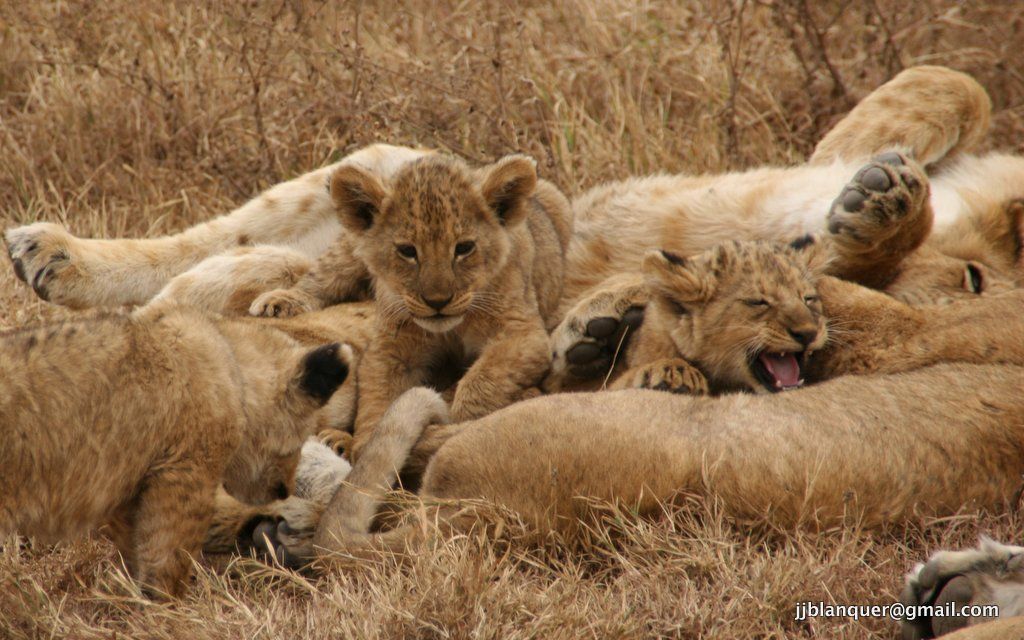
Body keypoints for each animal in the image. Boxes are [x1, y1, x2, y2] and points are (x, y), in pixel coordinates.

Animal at [0, 303, 354, 598]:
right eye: (301, 438)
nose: (284, 490)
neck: (231, 369)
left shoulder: (132, 487)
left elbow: (135, 548)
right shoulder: (183, 475)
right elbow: (168, 555)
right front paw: (169, 606)